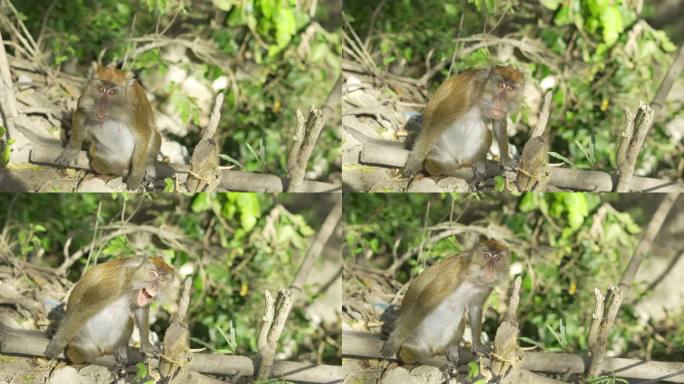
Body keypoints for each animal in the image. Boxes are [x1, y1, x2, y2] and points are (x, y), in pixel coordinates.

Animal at [45, 256, 174, 364]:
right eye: (152, 274)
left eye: (162, 278)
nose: (154, 287)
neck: (133, 279)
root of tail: (102, 348)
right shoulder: (115, 283)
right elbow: (85, 308)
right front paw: (57, 345)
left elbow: (140, 309)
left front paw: (147, 346)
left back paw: (119, 348)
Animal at [382, 238, 510, 364]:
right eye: (486, 256)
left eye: (497, 258)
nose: (490, 268)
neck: (473, 278)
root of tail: (431, 348)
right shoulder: (453, 274)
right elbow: (425, 303)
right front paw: (393, 343)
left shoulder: (486, 287)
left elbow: (475, 307)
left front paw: (478, 346)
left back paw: (451, 347)